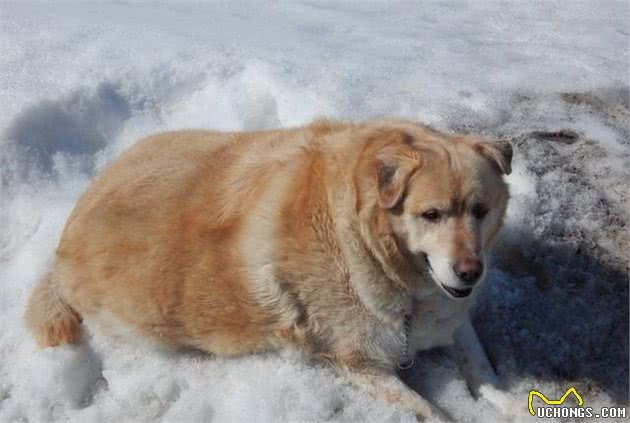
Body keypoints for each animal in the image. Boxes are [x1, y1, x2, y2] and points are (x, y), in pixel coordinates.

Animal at [27, 118, 516, 418]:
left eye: (480, 210)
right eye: (431, 215)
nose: (471, 272)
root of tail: (61, 243)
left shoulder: (451, 314)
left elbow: (483, 366)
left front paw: (508, 402)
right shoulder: (359, 364)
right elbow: (433, 411)